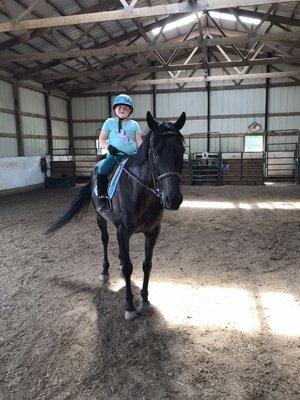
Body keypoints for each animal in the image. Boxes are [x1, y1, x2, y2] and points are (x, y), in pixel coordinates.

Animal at [47, 111, 185, 320]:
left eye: (182, 151)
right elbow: (128, 267)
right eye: (155, 153)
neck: (140, 191)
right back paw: (105, 271)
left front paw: (145, 301)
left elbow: (147, 264)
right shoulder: (123, 230)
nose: (173, 199)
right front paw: (129, 305)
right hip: (100, 217)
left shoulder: (153, 232)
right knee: (105, 240)